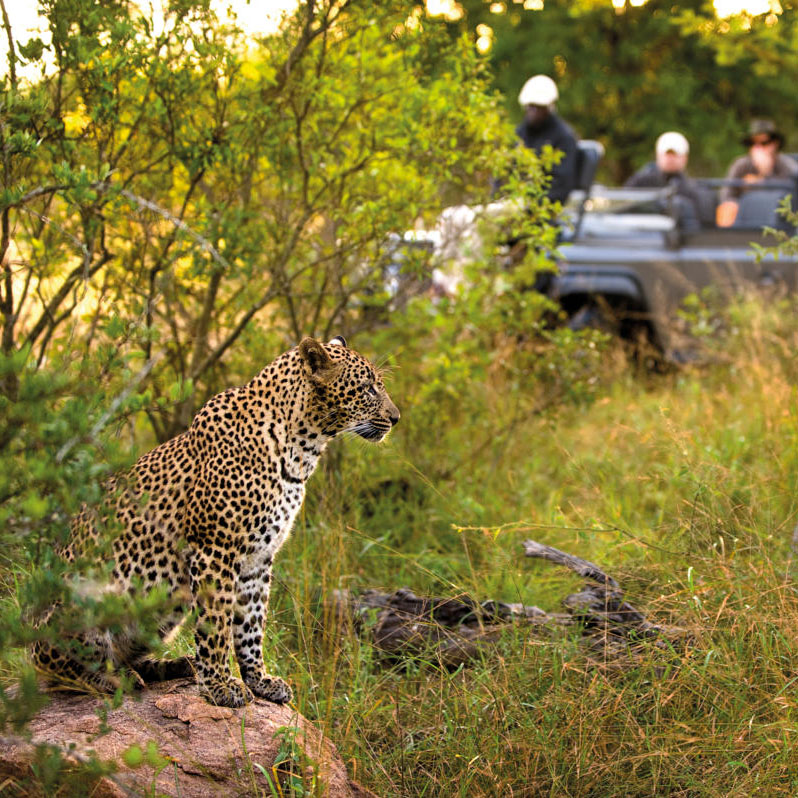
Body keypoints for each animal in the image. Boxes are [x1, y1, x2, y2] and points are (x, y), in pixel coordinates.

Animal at [32, 336, 400, 708]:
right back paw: (114, 680)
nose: (396, 418)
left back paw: (174, 665)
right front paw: (221, 686)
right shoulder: (215, 550)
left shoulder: (258, 559)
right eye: (368, 388)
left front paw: (259, 680)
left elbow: (251, 624)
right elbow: (217, 624)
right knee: (58, 667)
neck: (302, 450)